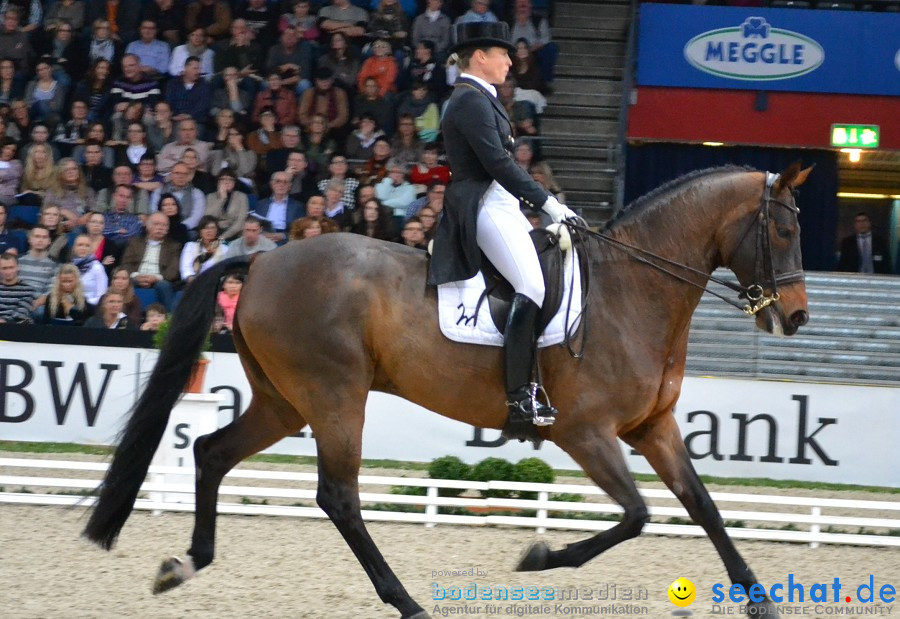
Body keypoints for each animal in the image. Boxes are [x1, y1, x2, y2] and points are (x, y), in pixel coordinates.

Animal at [86, 162, 816, 616]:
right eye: (784, 229)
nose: (797, 318)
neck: (632, 290)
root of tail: (264, 258)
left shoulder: (653, 427)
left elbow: (705, 508)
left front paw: (762, 604)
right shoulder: (586, 432)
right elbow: (637, 515)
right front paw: (539, 555)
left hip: (283, 403)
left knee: (210, 451)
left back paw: (185, 564)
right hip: (333, 396)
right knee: (339, 498)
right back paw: (407, 602)